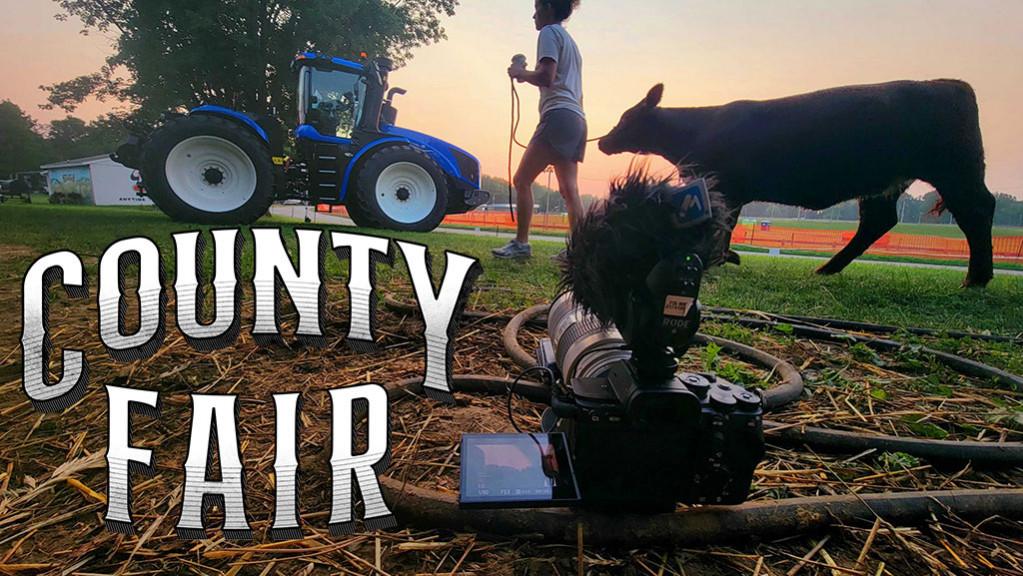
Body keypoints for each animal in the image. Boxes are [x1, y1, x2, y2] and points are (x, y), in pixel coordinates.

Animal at [597, 79, 994, 286]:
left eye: (627, 117)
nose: (602, 141)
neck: (694, 132)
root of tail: (954, 85)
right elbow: (727, 225)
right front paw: (726, 256)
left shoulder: (725, 185)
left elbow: (724, 225)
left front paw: (719, 257)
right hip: (885, 183)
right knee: (878, 221)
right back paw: (828, 268)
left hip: (957, 169)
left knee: (978, 209)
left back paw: (977, 277)